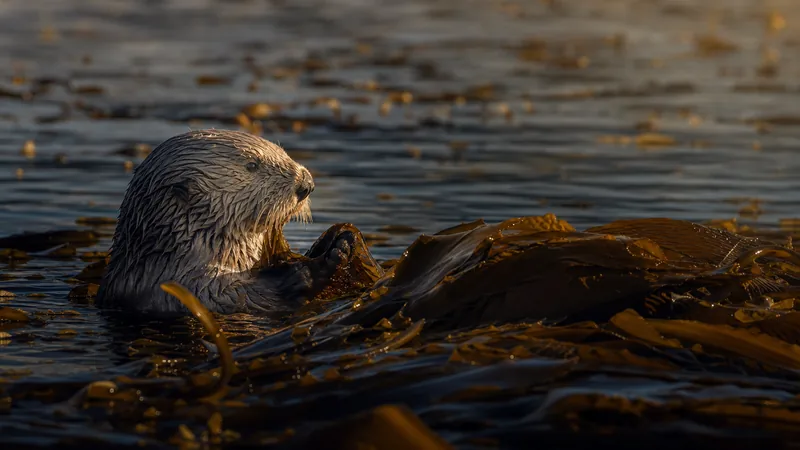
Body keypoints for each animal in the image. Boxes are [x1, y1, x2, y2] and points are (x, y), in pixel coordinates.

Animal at [97, 129, 382, 315]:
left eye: (283, 152)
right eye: (252, 165)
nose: (306, 184)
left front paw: (342, 238)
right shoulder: (186, 289)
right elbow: (241, 297)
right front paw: (325, 261)